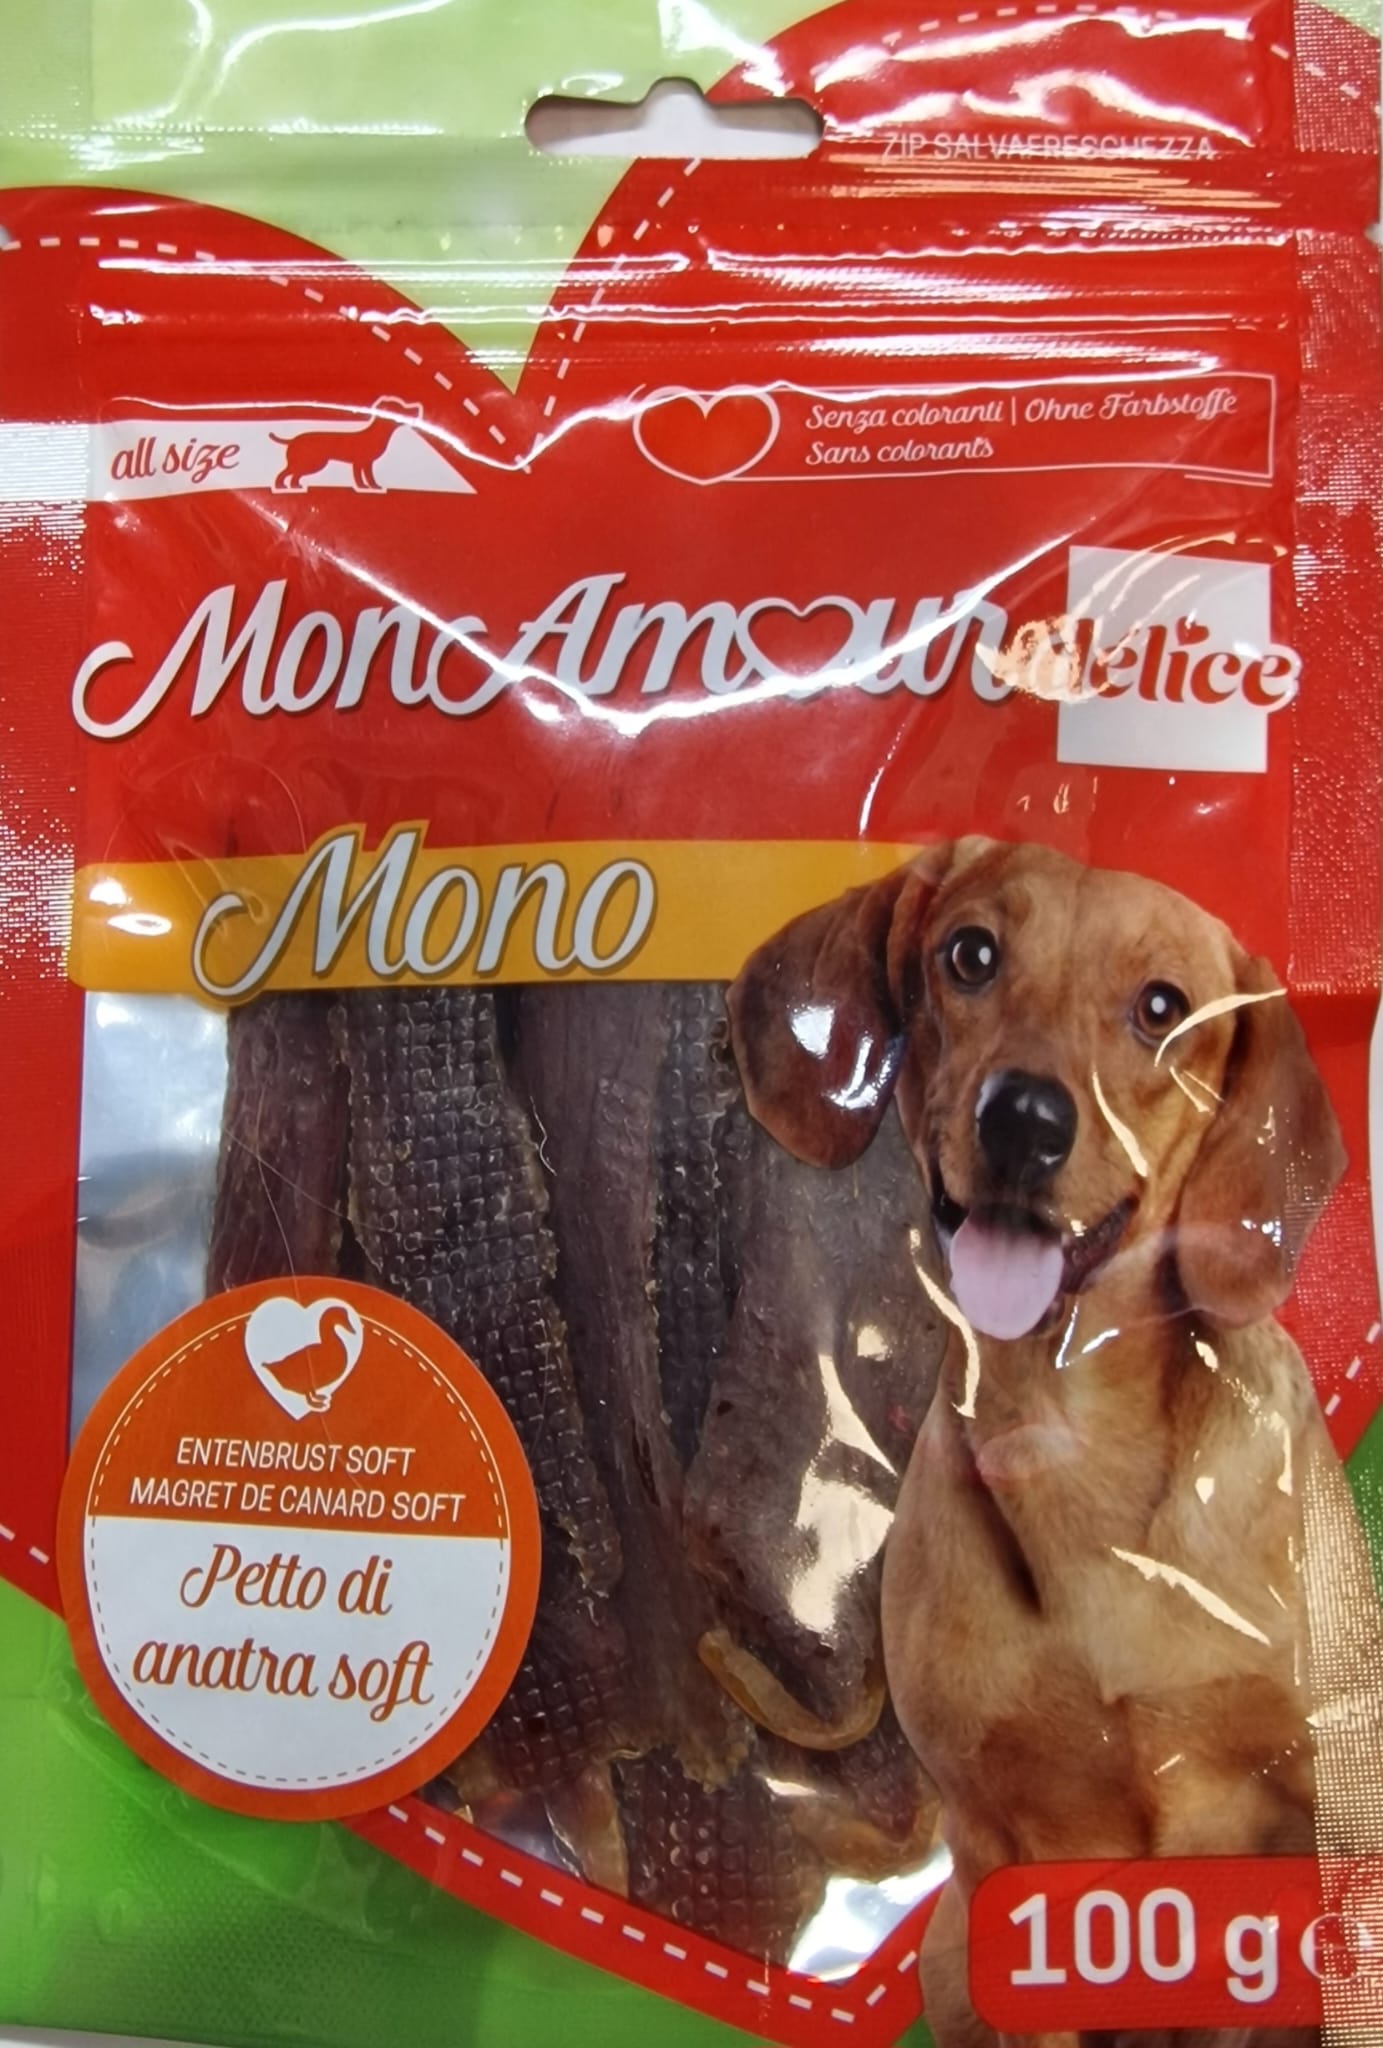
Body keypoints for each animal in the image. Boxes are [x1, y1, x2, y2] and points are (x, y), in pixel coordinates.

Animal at [270, 397, 424, 491]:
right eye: (399, 407)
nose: (417, 409)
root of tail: (293, 439)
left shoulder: (366, 464)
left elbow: (369, 478)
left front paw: (373, 487)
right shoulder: (359, 463)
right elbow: (361, 478)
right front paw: (363, 488)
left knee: (293, 476)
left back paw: (294, 487)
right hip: (310, 462)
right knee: (285, 473)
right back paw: (281, 487)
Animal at [729, 837, 1383, 2048]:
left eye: (1162, 1007)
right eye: (970, 955)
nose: (1023, 1119)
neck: (1079, 1443)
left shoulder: (1329, 1834)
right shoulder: (1007, 1862)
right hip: (947, 1944)